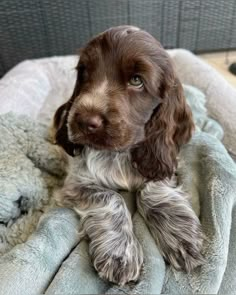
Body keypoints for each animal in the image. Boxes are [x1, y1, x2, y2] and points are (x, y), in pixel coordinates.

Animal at [52, 26, 204, 286]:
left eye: (136, 80)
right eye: (84, 72)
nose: (83, 121)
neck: (120, 153)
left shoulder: (163, 160)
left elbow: (153, 191)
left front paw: (182, 236)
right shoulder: (75, 183)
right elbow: (110, 197)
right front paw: (119, 253)